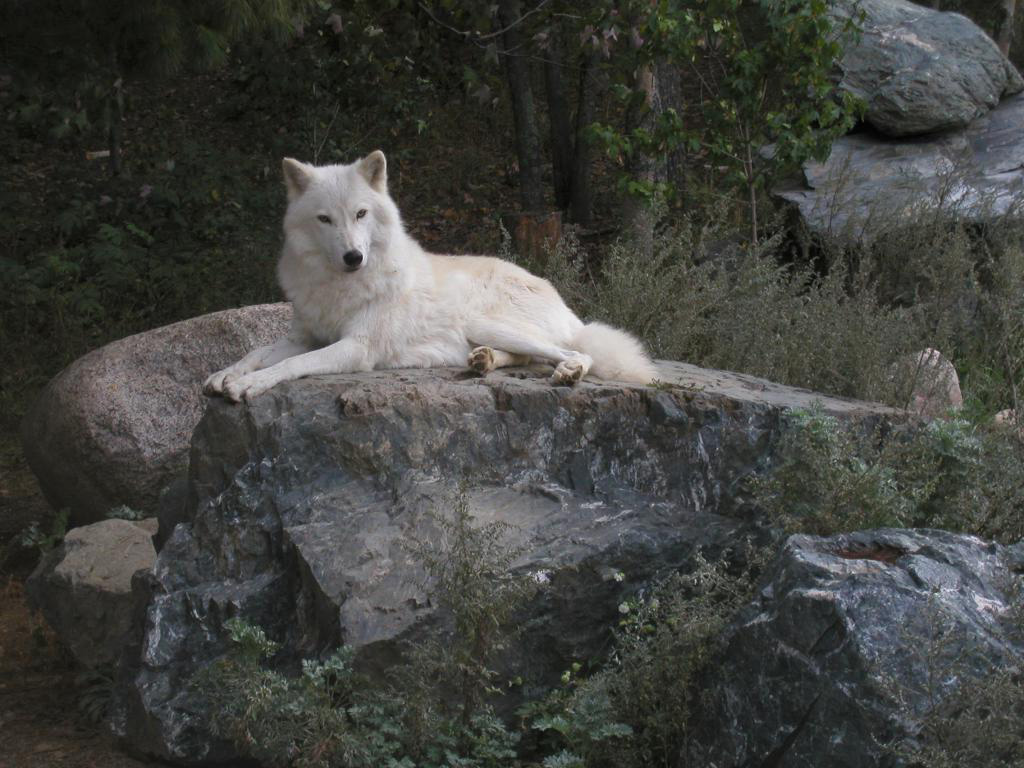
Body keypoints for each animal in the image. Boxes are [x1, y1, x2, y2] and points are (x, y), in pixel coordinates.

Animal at [204, 150, 655, 403]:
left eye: (361, 214)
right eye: (325, 219)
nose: (353, 256)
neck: (339, 285)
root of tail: (564, 302)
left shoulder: (357, 347)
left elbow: (293, 365)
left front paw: (250, 384)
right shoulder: (303, 335)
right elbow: (257, 352)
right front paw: (224, 374)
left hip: (485, 322)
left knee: (574, 352)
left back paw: (568, 371)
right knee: (528, 357)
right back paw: (483, 361)